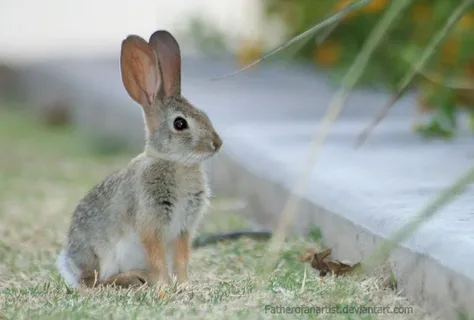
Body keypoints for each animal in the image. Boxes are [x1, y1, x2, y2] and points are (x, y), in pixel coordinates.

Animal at [56, 30, 223, 288]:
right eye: (180, 124)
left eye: (204, 114)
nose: (217, 144)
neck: (175, 162)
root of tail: (71, 268)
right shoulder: (150, 224)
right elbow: (157, 258)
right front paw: (164, 286)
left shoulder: (183, 229)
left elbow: (181, 259)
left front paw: (184, 285)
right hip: (100, 259)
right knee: (97, 282)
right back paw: (134, 277)